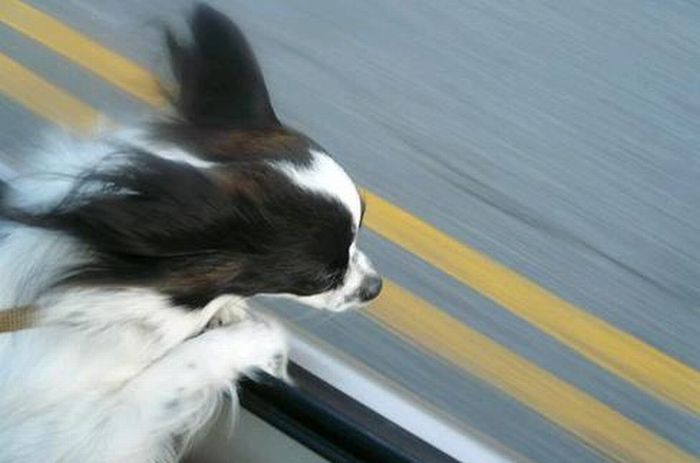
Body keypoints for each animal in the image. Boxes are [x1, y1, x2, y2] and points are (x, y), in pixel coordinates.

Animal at [0, 4, 382, 463]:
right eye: (323, 276)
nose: (376, 287)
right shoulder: (89, 435)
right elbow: (181, 368)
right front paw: (257, 337)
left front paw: (229, 309)